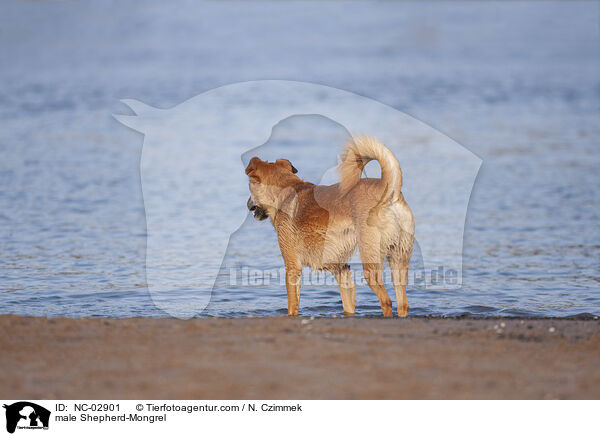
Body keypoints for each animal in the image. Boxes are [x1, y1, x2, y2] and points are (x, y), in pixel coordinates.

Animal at [246, 135, 414, 316]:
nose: (247, 204)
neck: (285, 192)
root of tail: (389, 191)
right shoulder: (341, 269)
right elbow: (348, 304)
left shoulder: (292, 266)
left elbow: (293, 305)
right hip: (399, 259)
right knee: (402, 304)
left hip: (371, 262)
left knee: (386, 301)